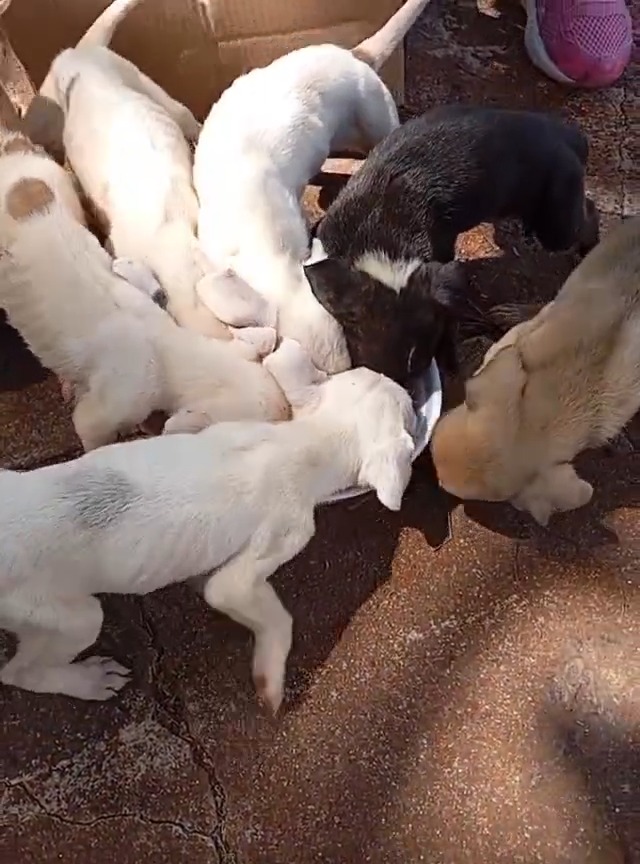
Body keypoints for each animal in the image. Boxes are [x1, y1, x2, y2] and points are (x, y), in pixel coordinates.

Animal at [0, 339, 416, 712]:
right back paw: (90, 680)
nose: (408, 386)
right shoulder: (267, 551)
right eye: (409, 409)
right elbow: (271, 615)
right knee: (19, 672)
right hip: (67, 615)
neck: (303, 443)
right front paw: (270, 682)